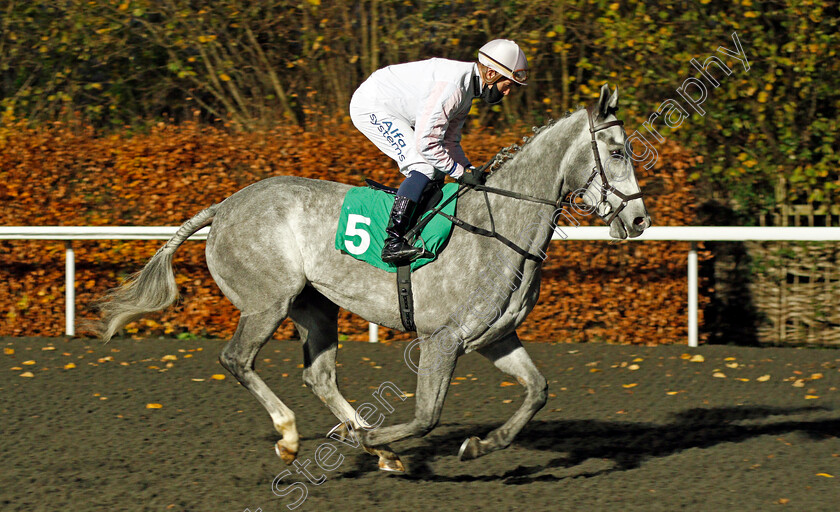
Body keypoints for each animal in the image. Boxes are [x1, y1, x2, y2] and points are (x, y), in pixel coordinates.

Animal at [95, 84, 652, 472]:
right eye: (617, 151)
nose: (640, 219)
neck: (500, 229)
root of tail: (225, 206)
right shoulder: (441, 339)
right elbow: (427, 414)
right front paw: (373, 440)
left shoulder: (495, 336)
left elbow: (537, 391)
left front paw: (480, 444)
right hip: (266, 303)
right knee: (236, 360)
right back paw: (293, 435)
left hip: (316, 305)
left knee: (318, 375)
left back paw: (373, 446)